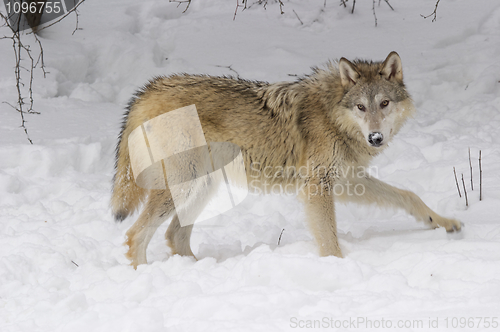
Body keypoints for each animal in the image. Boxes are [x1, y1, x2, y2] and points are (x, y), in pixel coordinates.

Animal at [111, 52, 462, 270]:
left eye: (384, 103)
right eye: (361, 107)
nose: (375, 138)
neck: (333, 116)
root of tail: (149, 89)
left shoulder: (348, 180)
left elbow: (409, 196)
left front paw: (442, 222)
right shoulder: (317, 186)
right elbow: (329, 239)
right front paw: (340, 269)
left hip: (203, 187)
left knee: (175, 235)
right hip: (183, 186)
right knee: (135, 235)